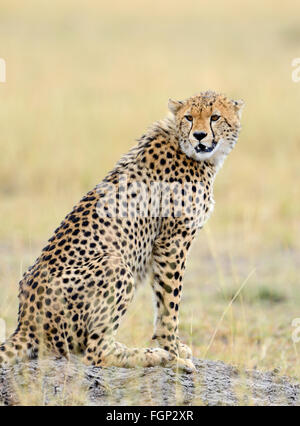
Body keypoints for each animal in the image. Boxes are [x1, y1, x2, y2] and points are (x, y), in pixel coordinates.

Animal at [0, 91, 244, 372]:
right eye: (189, 118)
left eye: (215, 117)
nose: (200, 136)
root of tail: (25, 321)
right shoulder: (172, 242)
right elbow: (170, 303)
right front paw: (173, 350)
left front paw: (175, 348)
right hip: (115, 263)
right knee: (95, 353)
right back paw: (153, 355)